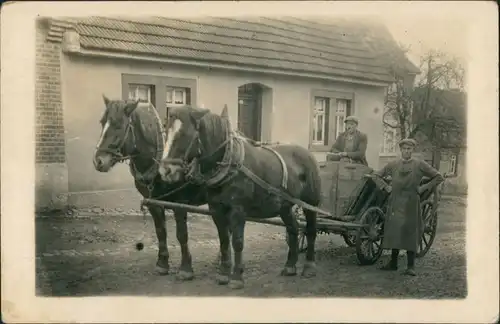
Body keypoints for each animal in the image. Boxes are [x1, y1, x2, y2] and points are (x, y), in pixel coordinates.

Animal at [92, 96, 207, 280]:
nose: (98, 161)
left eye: (119, 125)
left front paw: (186, 268)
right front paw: (162, 263)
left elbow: (182, 234)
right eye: (102, 122)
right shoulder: (154, 203)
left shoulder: (180, 204)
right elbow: (161, 231)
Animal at [158, 105, 320, 290]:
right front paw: (223, 274)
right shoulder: (216, 209)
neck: (228, 163)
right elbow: (223, 240)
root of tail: (307, 153)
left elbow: (237, 241)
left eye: (184, 133)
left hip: (311, 203)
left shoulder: (238, 210)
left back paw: (309, 267)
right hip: (284, 206)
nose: (165, 171)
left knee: (311, 230)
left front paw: (236, 277)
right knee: (293, 229)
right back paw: (290, 266)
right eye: (166, 130)